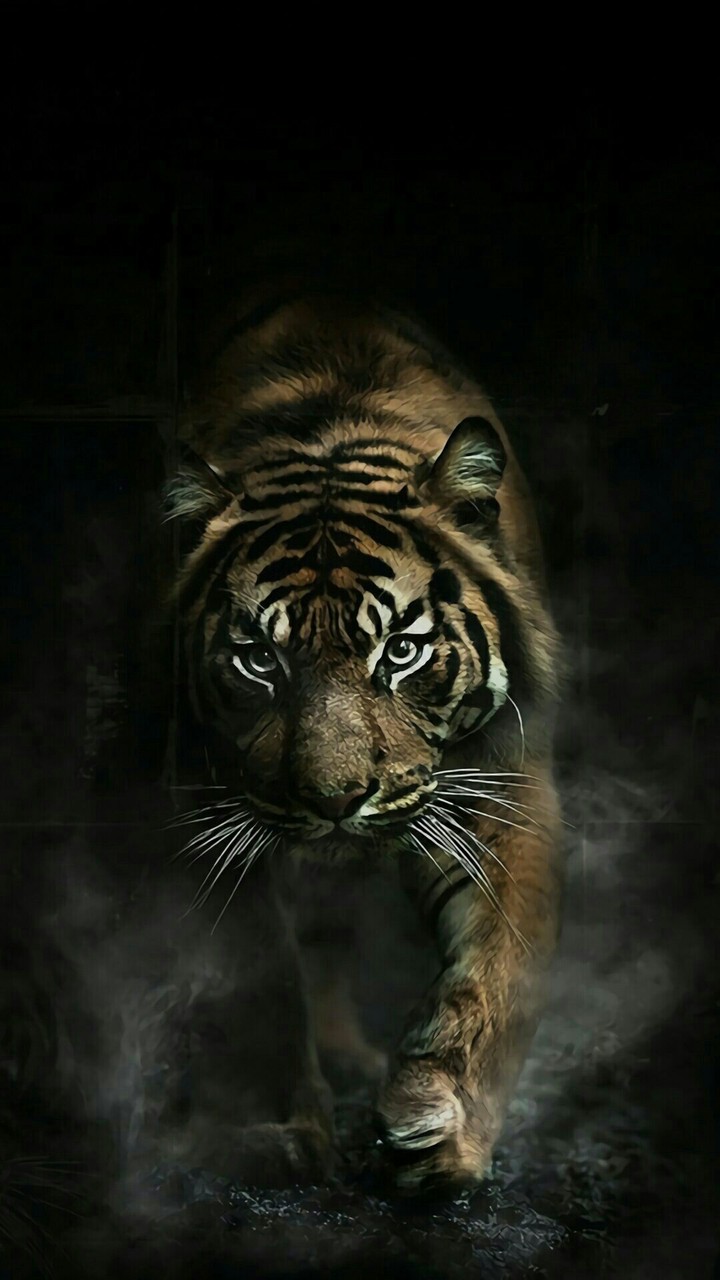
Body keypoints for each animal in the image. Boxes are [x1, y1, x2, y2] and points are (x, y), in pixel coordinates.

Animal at [164, 283, 565, 1194]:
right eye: (259, 659)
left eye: (402, 652)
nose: (335, 799)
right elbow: (263, 977)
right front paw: (285, 1132)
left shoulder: (502, 783)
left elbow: (500, 965)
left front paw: (441, 1126)